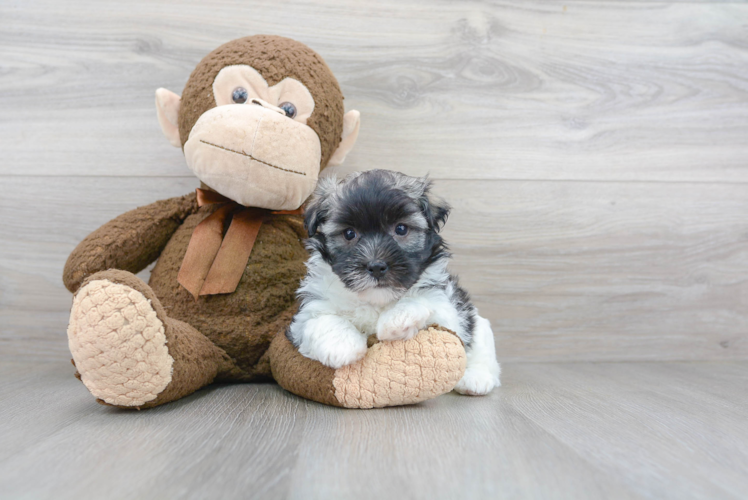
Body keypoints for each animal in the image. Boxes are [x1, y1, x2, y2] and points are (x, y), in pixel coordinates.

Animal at [290, 170, 500, 396]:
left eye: (401, 229)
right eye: (349, 233)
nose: (376, 266)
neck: (376, 300)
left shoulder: (445, 309)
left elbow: (424, 301)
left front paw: (396, 320)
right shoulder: (304, 316)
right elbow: (320, 320)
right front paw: (342, 345)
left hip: (476, 322)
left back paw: (476, 378)